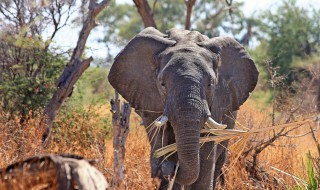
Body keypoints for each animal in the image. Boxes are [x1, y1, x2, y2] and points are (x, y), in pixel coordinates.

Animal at [109, 26, 258, 189]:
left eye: (210, 84)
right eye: (162, 84)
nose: (163, 168)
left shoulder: (218, 100)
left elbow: (206, 151)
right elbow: (161, 137)